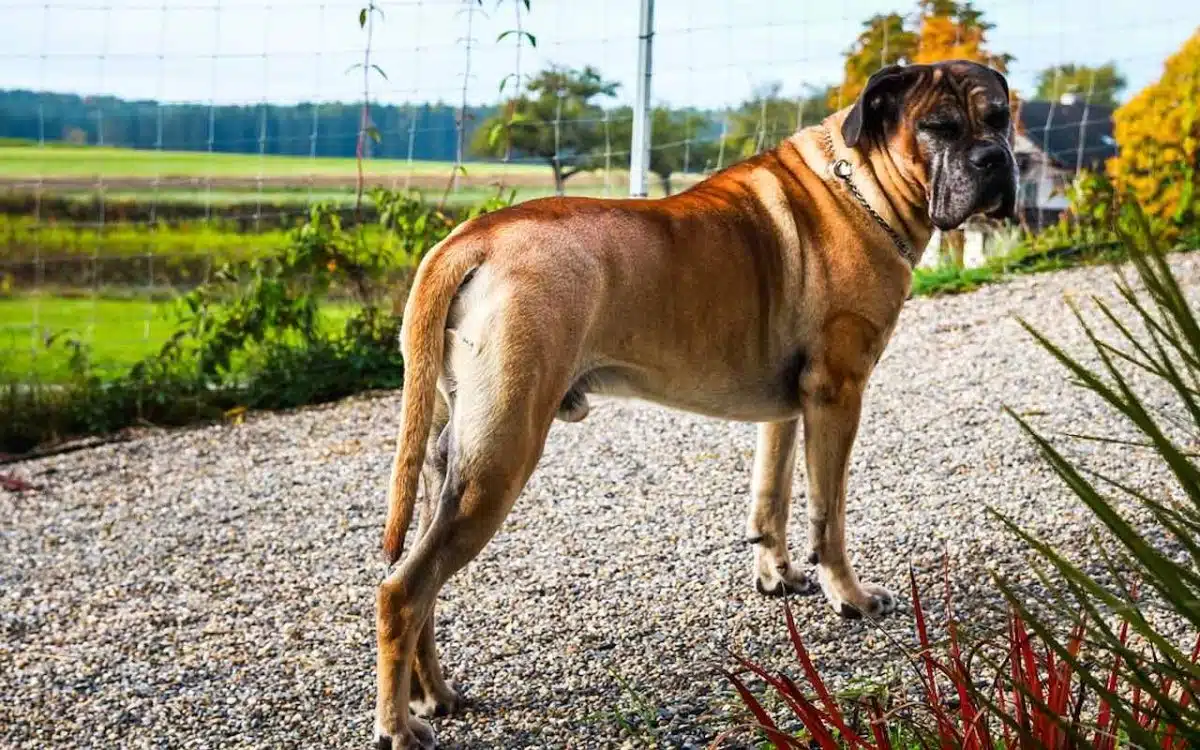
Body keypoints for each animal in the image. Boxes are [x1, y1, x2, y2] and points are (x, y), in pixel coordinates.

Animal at [372, 61, 1012, 744]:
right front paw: (850, 596)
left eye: (1000, 116)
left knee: (424, 582)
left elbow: (772, 494)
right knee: (403, 592)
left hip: (453, 460)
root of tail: (470, 238)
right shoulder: (838, 394)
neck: (864, 182)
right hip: (501, 452)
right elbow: (828, 512)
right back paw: (398, 726)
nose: (995, 160)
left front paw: (778, 575)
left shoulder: (789, 408)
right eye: (937, 127)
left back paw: (435, 696)